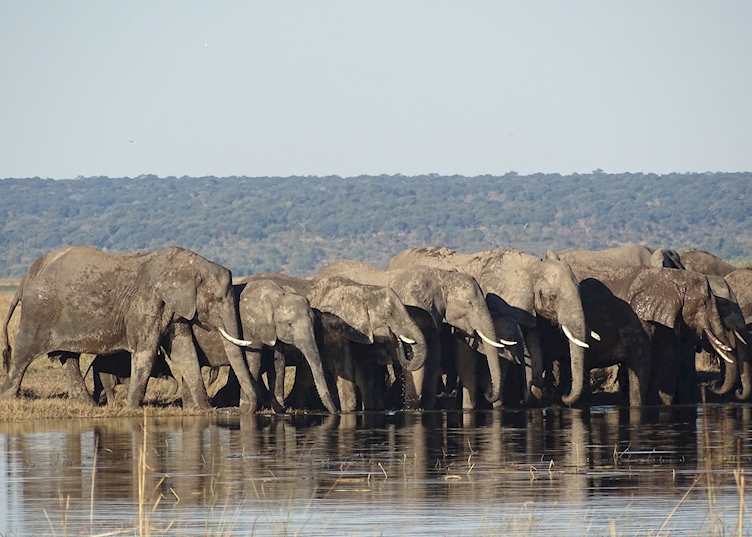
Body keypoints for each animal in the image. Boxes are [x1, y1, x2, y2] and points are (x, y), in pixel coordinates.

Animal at [0, 245, 258, 410]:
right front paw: (132, 410)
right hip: (37, 312)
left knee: (68, 357)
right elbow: (146, 352)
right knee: (23, 354)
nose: (244, 409)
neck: (190, 264)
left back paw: (88, 405)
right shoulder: (145, 303)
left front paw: (204, 410)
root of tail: (25, 279)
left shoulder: (173, 309)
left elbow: (185, 352)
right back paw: (8, 399)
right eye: (216, 299)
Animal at [185, 279, 337, 413]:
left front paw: (279, 409)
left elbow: (278, 360)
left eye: (314, 323)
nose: (337, 412)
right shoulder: (249, 323)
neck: (277, 296)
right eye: (289, 324)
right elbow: (253, 358)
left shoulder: (272, 330)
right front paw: (246, 409)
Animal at [318, 260, 521, 409]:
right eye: (469, 303)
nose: (487, 393)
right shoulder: (416, 308)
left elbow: (433, 360)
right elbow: (420, 364)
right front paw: (413, 409)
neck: (442, 276)